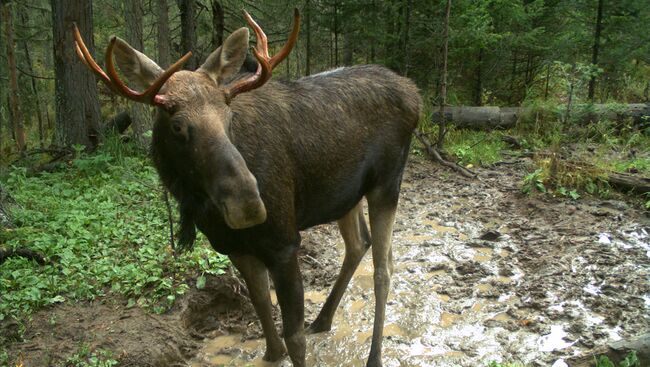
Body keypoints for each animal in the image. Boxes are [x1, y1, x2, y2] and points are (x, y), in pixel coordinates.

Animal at [73, 9, 420, 367]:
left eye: (228, 116)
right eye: (177, 125)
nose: (248, 203)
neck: (202, 209)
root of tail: (415, 93)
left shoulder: (284, 243)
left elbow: (293, 337)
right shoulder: (235, 247)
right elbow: (261, 305)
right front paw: (271, 353)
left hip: (387, 183)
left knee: (384, 268)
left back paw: (374, 354)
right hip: (345, 195)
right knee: (358, 244)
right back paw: (323, 319)